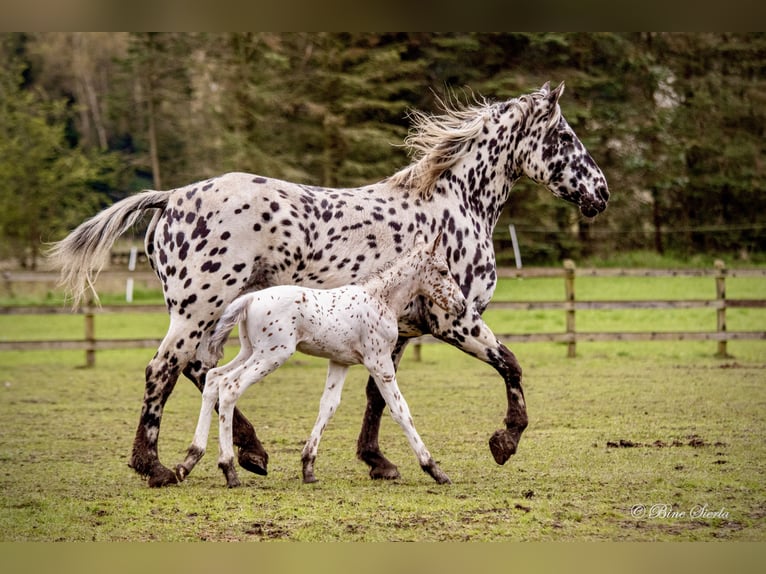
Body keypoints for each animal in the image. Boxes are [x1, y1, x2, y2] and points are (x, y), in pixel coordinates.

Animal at [175, 231, 466, 487]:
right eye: (443, 271)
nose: (461, 305)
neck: (380, 301)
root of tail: (250, 298)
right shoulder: (379, 362)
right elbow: (400, 410)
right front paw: (435, 469)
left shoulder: (340, 362)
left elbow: (328, 406)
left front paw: (308, 468)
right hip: (272, 354)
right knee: (230, 387)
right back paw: (229, 470)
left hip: (250, 351)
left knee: (214, 379)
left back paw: (190, 459)